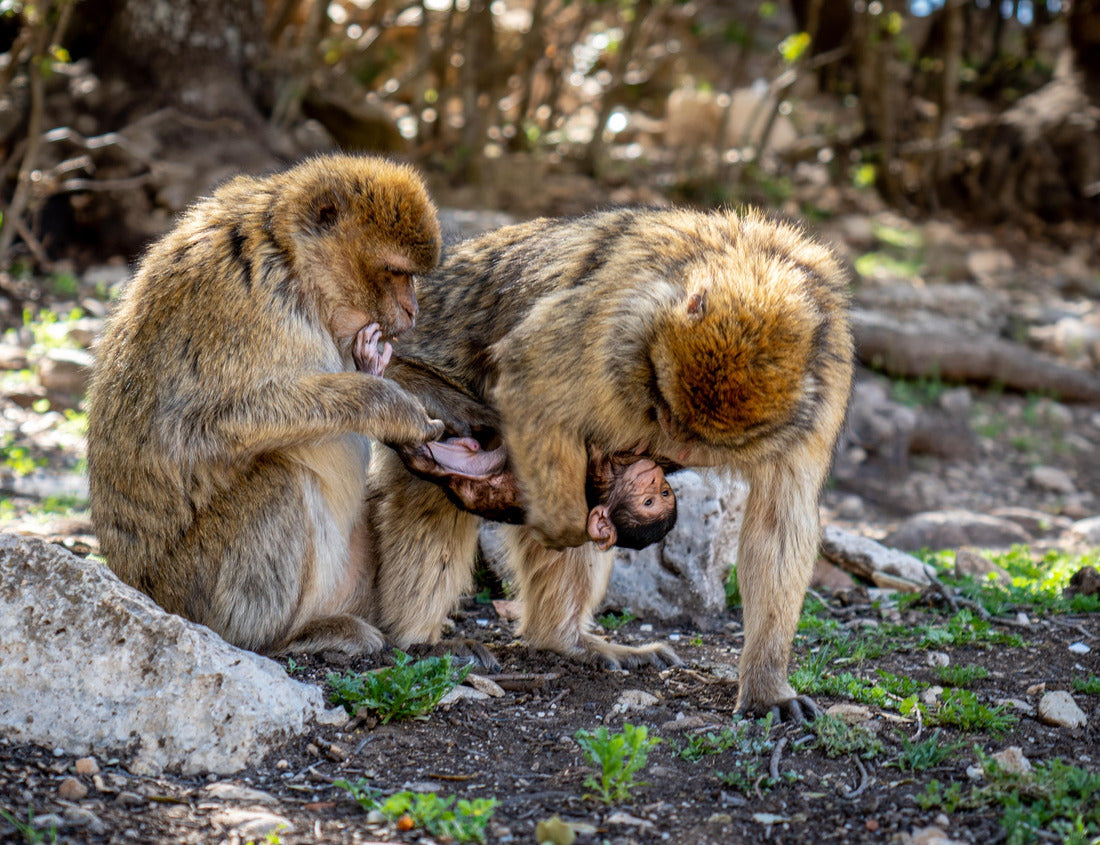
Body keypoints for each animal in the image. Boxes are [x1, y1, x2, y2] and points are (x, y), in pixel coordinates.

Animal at [86, 153, 445, 657]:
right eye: (396, 272)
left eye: (410, 276)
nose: (412, 310)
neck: (292, 266)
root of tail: (136, 585)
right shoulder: (239, 307)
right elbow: (190, 431)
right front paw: (391, 407)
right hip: (190, 591)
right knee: (280, 479)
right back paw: (282, 637)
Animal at [364, 207, 853, 720]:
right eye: (664, 413)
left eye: (687, 445)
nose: (657, 461)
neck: (752, 266)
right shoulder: (618, 322)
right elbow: (528, 372)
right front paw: (561, 525)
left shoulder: (823, 388)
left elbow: (779, 523)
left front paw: (766, 686)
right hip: (413, 375)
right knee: (435, 493)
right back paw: (419, 638)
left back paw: (564, 640)